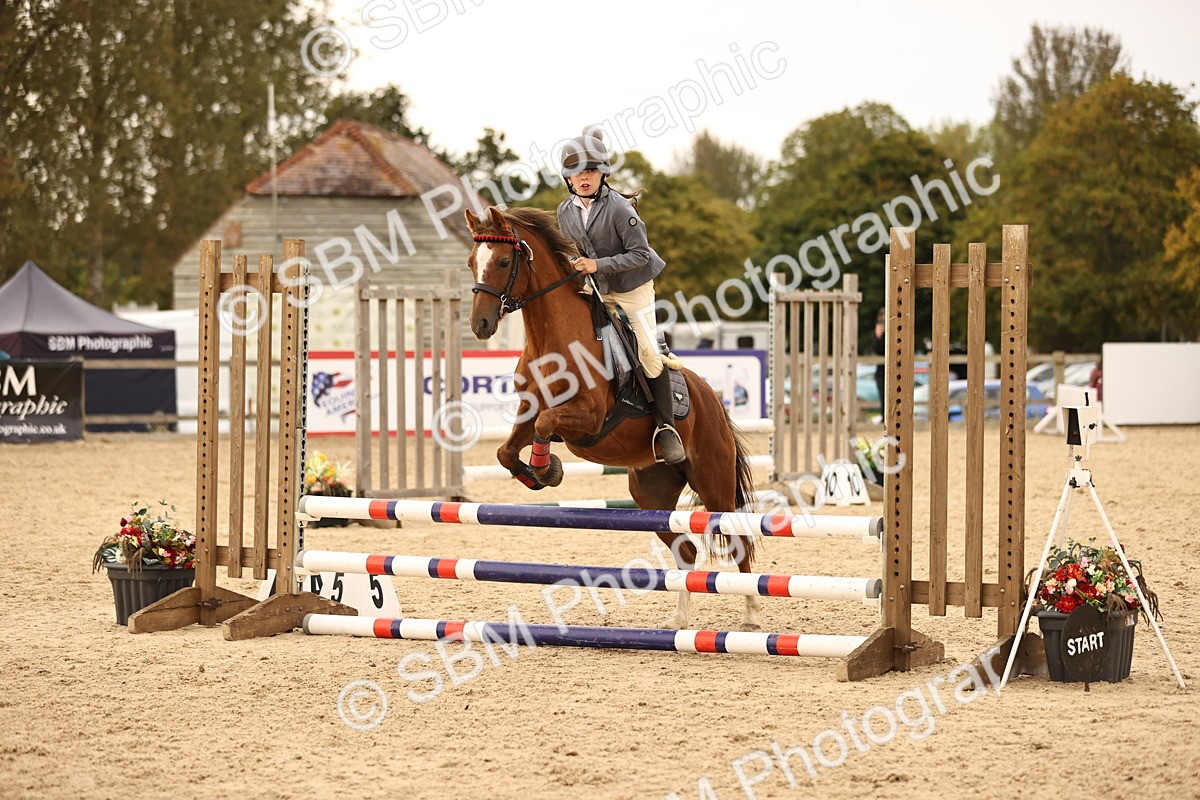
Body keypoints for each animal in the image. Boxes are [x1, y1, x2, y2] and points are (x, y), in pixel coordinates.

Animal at [463, 205, 760, 629]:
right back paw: (679, 620)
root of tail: (713, 401)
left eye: (504, 262)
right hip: (651, 494)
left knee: (738, 538)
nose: (481, 325)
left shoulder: (588, 417)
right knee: (685, 550)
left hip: (713, 482)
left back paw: (751, 610)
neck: (554, 339)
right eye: (472, 262)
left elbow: (546, 425)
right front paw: (540, 474)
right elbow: (506, 451)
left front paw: (546, 468)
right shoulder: (529, 408)